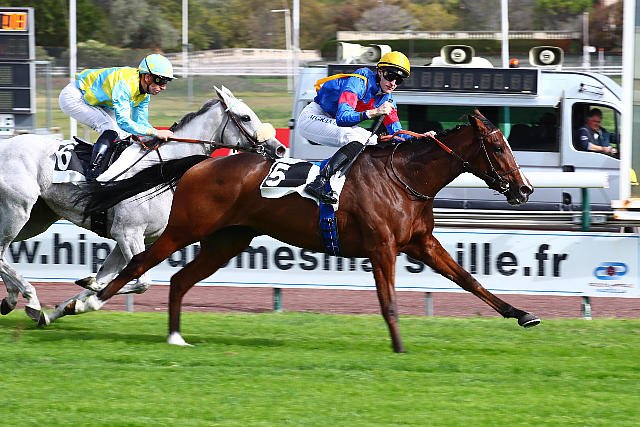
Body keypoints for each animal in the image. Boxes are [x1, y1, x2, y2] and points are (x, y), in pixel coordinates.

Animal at [0, 86, 285, 326]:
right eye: (245, 117)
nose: (279, 149)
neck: (163, 168)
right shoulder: (128, 233)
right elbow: (142, 282)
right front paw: (88, 288)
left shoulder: (134, 238)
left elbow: (111, 278)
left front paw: (67, 306)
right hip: (18, 209)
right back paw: (30, 299)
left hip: (37, 219)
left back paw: (12, 298)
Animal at [61, 110, 539, 353]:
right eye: (497, 146)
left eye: (508, 142)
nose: (524, 189)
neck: (404, 177)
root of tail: (201, 162)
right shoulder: (382, 247)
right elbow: (388, 302)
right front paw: (400, 348)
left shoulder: (420, 243)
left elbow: (470, 281)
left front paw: (522, 314)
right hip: (184, 228)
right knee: (139, 264)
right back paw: (75, 305)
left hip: (228, 239)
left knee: (179, 279)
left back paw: (175, 336)